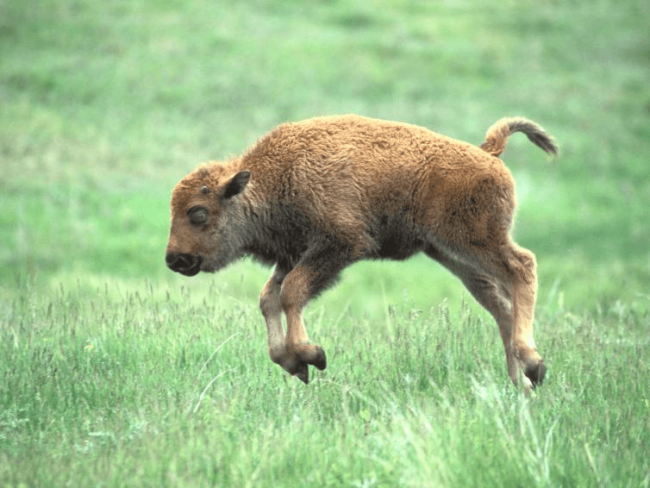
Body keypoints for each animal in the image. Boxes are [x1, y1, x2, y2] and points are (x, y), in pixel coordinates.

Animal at [165, 114, 556, 392]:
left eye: (197, 213)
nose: (174, 259)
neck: (273, 178)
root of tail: (488, 153)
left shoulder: (338, 245)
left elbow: (291, 293)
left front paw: (312, 355)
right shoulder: (293, 256)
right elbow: (269, 299)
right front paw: (294, 364)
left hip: (476, 241)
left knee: (522, 267)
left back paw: (532, 364)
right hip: (451, 253)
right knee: (499, 305)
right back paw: (520, 383)